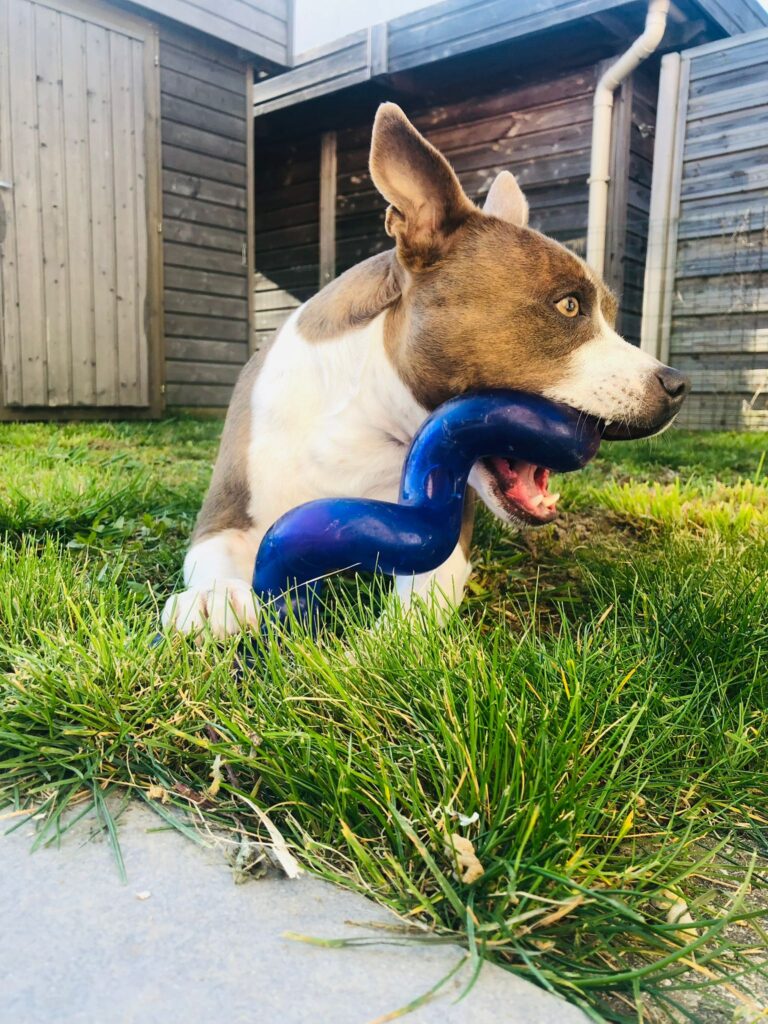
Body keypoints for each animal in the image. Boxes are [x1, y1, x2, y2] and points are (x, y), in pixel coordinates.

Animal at [162, 101, 692, 630]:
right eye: (569, 306)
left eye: (610, 312)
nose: (677, 384)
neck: (364, 423)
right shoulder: (224, 515)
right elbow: (212, 554)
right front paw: (212, 598)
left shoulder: (440, 536)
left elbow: (414, 610)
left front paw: (372, 642)